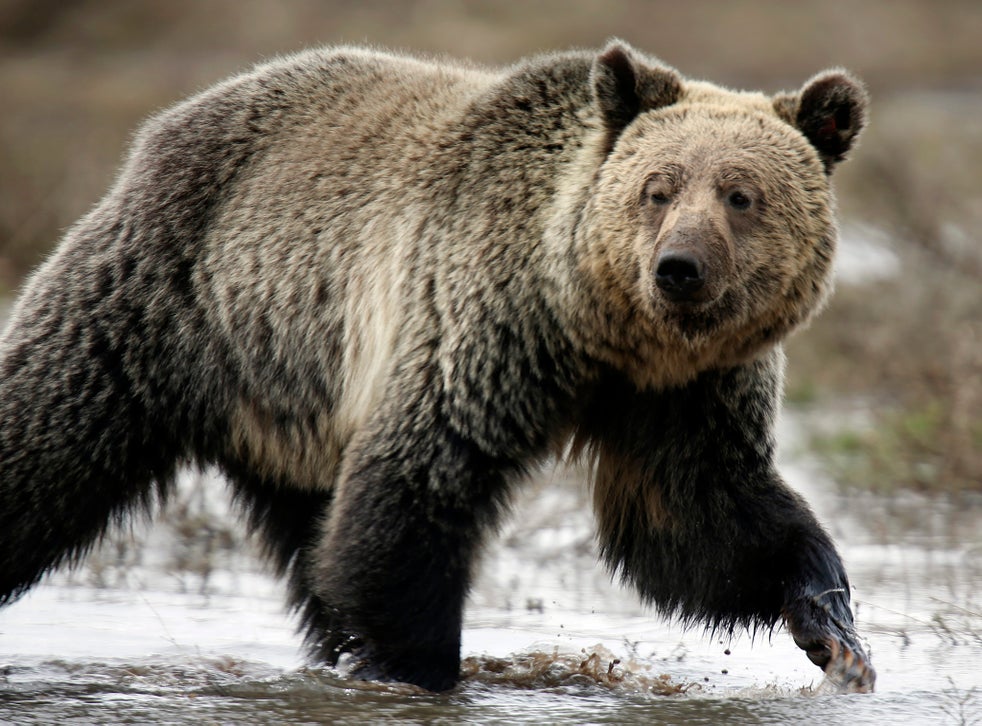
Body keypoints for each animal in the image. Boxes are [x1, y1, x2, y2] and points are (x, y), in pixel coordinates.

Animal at [0, 41, 873, 693]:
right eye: (658, 189)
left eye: (741, 194)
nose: (679, 268)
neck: (602, 331)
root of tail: (169, 123)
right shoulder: (481, 321)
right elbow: (417, 486)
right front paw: (414, 668)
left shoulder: (687, 393)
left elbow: (700, 520)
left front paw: (832, 626)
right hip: (165, 302)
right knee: (46, 440)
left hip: (294, 398)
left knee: (312, 533)